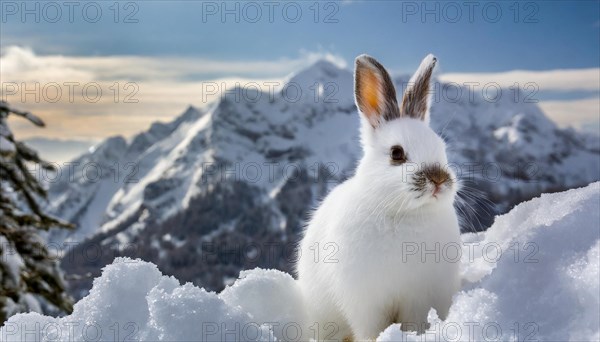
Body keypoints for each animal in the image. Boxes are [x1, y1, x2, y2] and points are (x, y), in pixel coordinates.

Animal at [298, 54, 462, 340]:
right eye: (397, 153)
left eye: (441, 147)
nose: (439, 179)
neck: (406, 214)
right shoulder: (365, 302)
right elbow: (370, 329)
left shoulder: (418, 299)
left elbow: (415, 322)